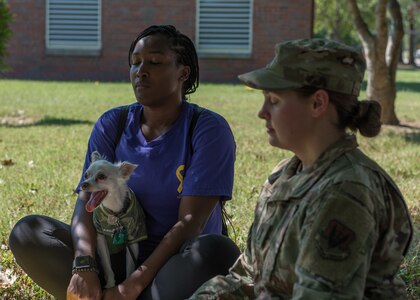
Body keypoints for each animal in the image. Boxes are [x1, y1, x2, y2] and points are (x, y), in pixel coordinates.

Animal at [81, 151, 148, 288]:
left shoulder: (133, 240)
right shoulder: (101, 238)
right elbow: (107, 265)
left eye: (101, 176)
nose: (83, 184)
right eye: (86, 175)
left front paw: (127, 283)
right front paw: (111, 284)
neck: (115, 211)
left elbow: (130, 266)